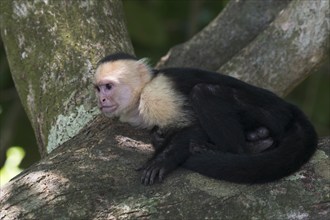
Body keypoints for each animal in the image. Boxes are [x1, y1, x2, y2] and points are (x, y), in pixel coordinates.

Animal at [93, 52, 318, 186]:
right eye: (97, 89)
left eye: (109, 87)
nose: (101, 100)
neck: (141, 94)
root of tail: (288, 107)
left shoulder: (157, 96)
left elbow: (195, 126)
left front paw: (161, 160)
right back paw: (257, 138)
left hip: (268, 112)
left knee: (204, 92)